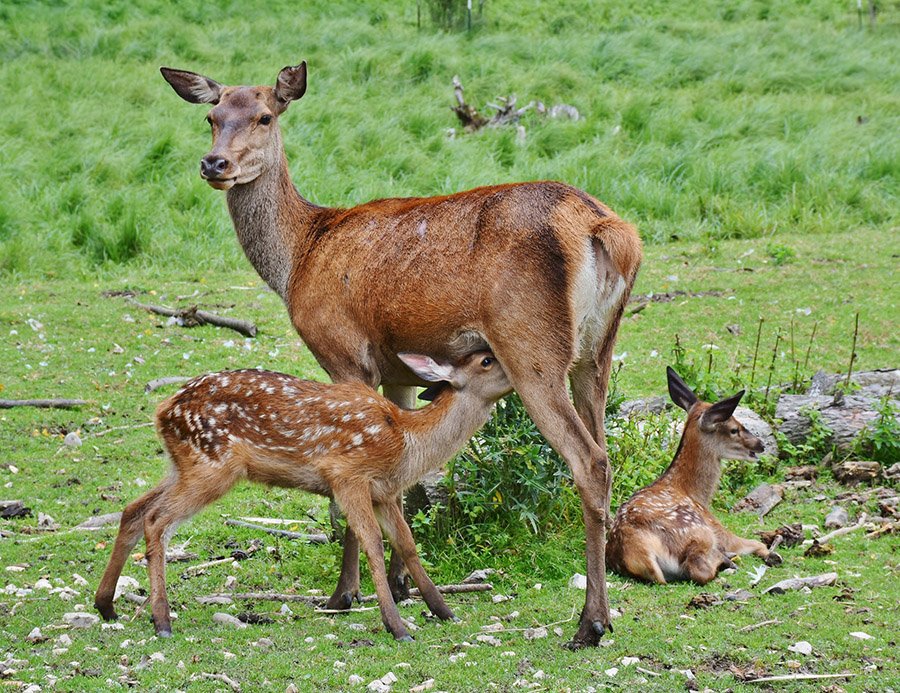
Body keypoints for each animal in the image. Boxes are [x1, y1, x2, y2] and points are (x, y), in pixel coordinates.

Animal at [94, 350, 512, 641]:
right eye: (487, 360)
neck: (408, 443)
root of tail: (162, 411)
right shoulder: (347, 476)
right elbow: (373, 544)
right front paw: (397, 627)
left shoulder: (384, 492)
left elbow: (407, 544)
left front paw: (444, 611)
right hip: (212, 465)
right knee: (157, 520)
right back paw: (161, 620)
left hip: (184, 464)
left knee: (133, 509)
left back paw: (106, 606)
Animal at [158, 60, 642, 647]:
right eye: (211, 116)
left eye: (265, 115)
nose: (215, 163)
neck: (298, 258)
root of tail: (604, 229)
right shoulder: (398, 372)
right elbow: (404, 482)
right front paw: (401, 585)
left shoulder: (344, 353)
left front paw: (344, 593)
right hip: (596, 352)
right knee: (604, 450)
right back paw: (605, 611)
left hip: (532, 348)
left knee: (588, 460)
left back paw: (589, 623)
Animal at [606, 367, 782, 585]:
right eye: (734, 429)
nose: (760, 444)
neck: (695, 494)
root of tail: (638, 553)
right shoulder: (717, 527)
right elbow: (756, 543)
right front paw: (771, 554)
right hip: (699, 532)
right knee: (699, 570)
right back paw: (727, 559)